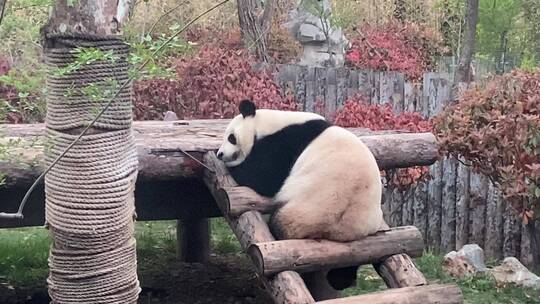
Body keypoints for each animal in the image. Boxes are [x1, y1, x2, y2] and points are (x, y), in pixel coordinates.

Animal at [216, 100, 388, 292]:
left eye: (231, 137)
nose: (220, 154)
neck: (270, 123)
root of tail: (336, 230)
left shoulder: (284, 143)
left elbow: (264, 177)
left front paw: (236, 167)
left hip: (305, 211)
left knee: (279, 224)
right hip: (360, 231)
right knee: (353, 258)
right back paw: (340, 279)